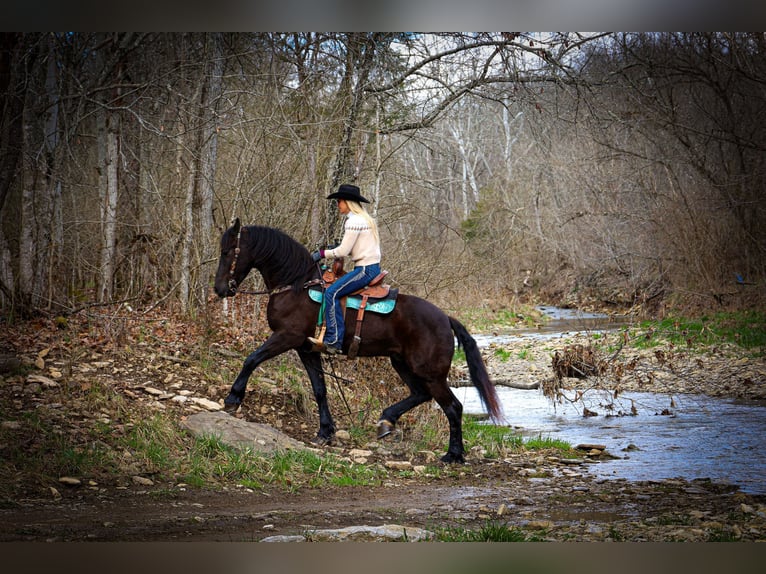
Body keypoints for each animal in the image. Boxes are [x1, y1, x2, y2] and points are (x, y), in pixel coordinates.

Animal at [216, 218, 504, 466]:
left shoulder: (286, 337)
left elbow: (252, 358)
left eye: (228, 251)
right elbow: (319, 389)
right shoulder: (306, 348)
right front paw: (325, 432)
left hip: (430, 373)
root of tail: (445, 318)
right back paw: (387, 421)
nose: (220, 289)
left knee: (453, 407)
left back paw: (453, 454)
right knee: (420, 394)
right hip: (402, 363)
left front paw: (233, 398)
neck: (296, 287)